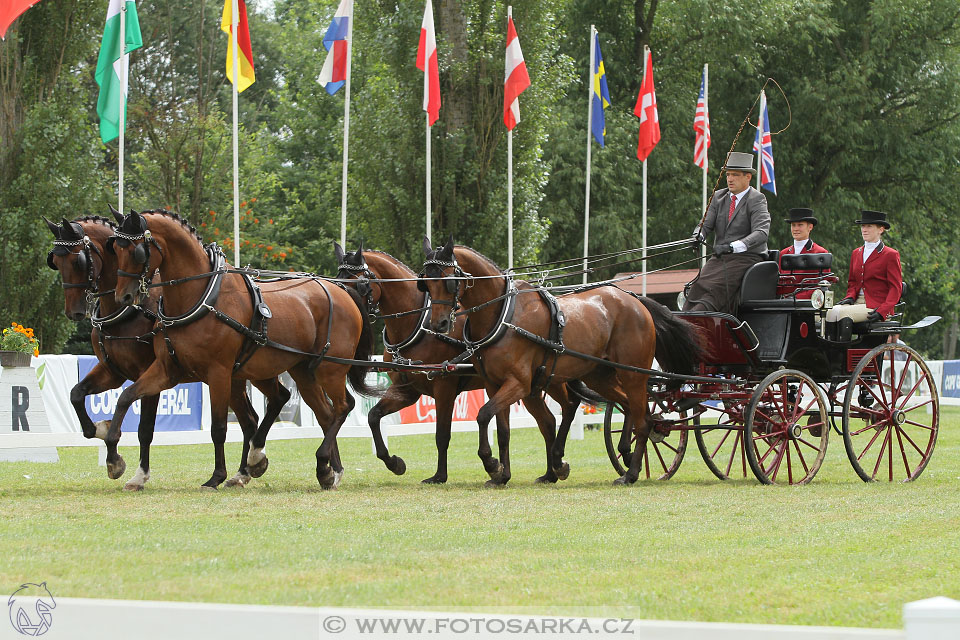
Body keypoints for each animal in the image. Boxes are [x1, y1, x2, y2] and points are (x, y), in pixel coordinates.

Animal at [45, 211, 290, 490]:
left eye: (78, 261)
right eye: (55, 261)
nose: (74, 312)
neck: (129, 313)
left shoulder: (149, 372)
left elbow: (144, 428)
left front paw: (131, 469)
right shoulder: (112, 371)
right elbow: (77, 394)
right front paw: (100, 429)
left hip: (251, 373)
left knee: (273, 402)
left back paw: (250, 463)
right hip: (237, 377)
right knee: (252, 418)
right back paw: (244, 471)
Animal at [105, 208, 376, 488]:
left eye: (137, 251)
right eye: (114, 248)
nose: (123, 297)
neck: (201, 296)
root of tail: (341, 290)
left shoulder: (219, 373)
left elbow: (218, 428)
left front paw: (216, 476)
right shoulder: (166, 370)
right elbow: (126, 397)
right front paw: (115, 460)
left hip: (330, 368)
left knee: (343, 407)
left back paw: (312, 462)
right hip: (301, 371)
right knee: (323, 413)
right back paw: (325, 471)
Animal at [334, 242, 580, 482]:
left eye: (358, 284)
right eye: (338, 281)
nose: (345, 308)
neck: (418, 325)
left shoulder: (445, 387)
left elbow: (442, 434)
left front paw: (440, 475)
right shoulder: (407, 390)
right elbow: (374, 417)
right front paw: (394, 462)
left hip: (553, 379)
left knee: (569, 406)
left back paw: (556, 464)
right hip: (532, 387)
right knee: (548, 422)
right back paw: (550, 473)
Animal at [424, 238, 700, 482]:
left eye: (448, 282)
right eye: (425, 284)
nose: (438, 324)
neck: (503, 315)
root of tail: (635, 301)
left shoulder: (519, 384)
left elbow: (482, 415)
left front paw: (492, 465)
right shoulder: (494, 385)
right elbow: (501, 430)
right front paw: (501, 475)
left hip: (633, 374)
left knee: (642, 420)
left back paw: (629, 474)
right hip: (600, 376)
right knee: (627, 407)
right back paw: (621, 454)